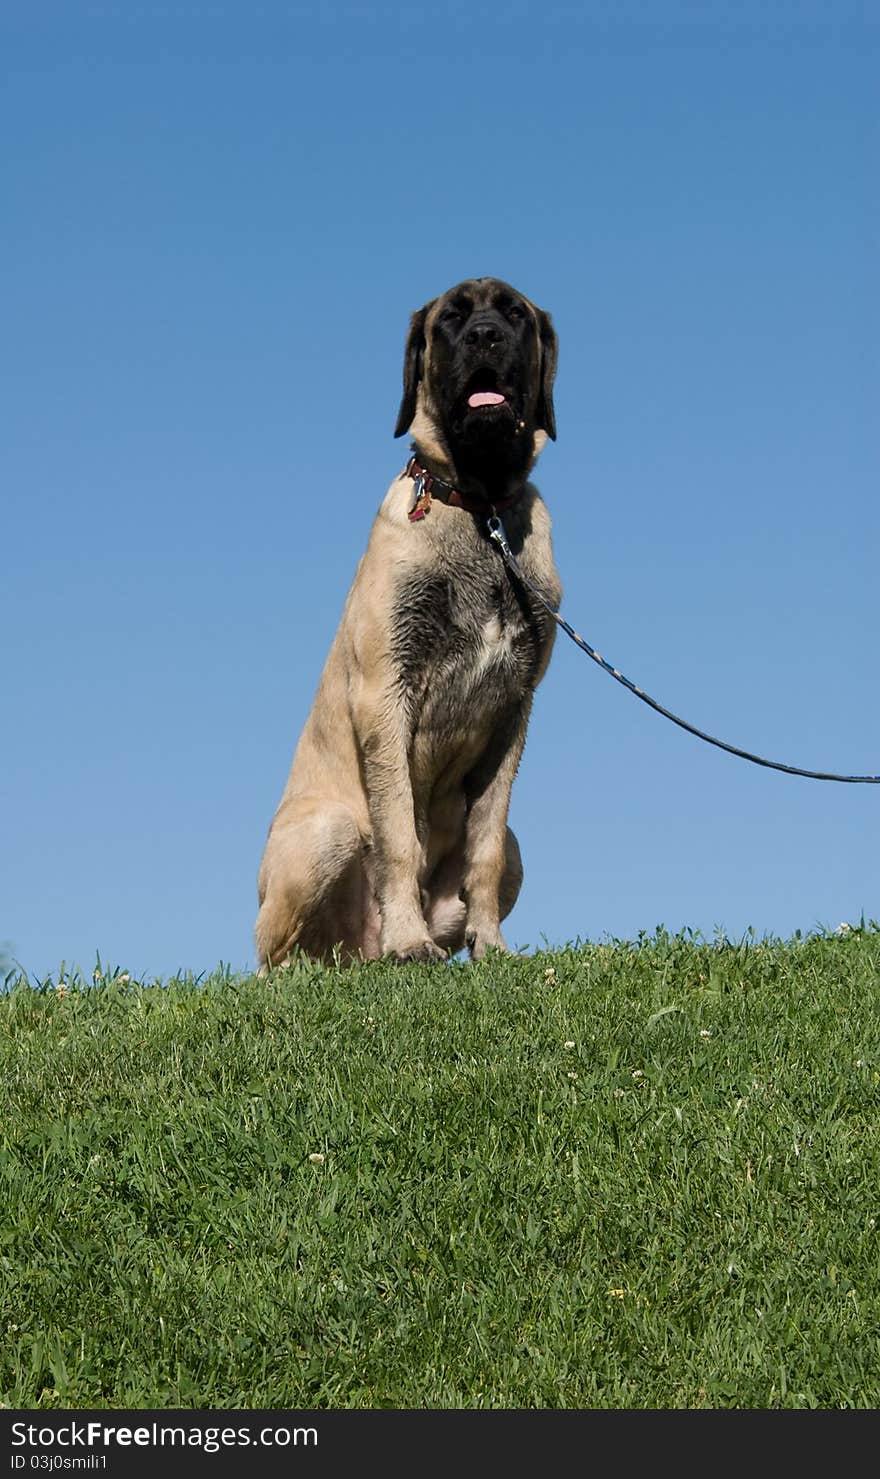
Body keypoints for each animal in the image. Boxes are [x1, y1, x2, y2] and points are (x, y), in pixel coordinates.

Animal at [254, 278, 562, 970]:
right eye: (451, 318)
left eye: (514, 314)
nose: (484, 337)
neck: (479, 509)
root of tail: (353, 956)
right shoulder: (385, 692)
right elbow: (398, 832)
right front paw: (408, 938)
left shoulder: (514, 709)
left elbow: (485, 846)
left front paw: (491, 945)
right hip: (325, 831)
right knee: (271, 962)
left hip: (518, 851)